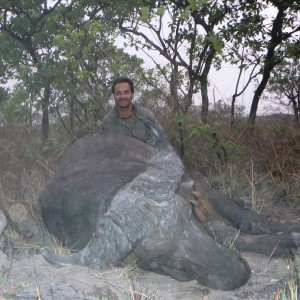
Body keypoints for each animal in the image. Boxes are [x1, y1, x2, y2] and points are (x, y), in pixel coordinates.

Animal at [39, 132, 300, 290]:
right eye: (158, 258)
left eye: (188, 219)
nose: (237, 274)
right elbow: (232, 237)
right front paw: (284, 244)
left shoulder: (202, 192)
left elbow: (248, 222)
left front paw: (290, 235)